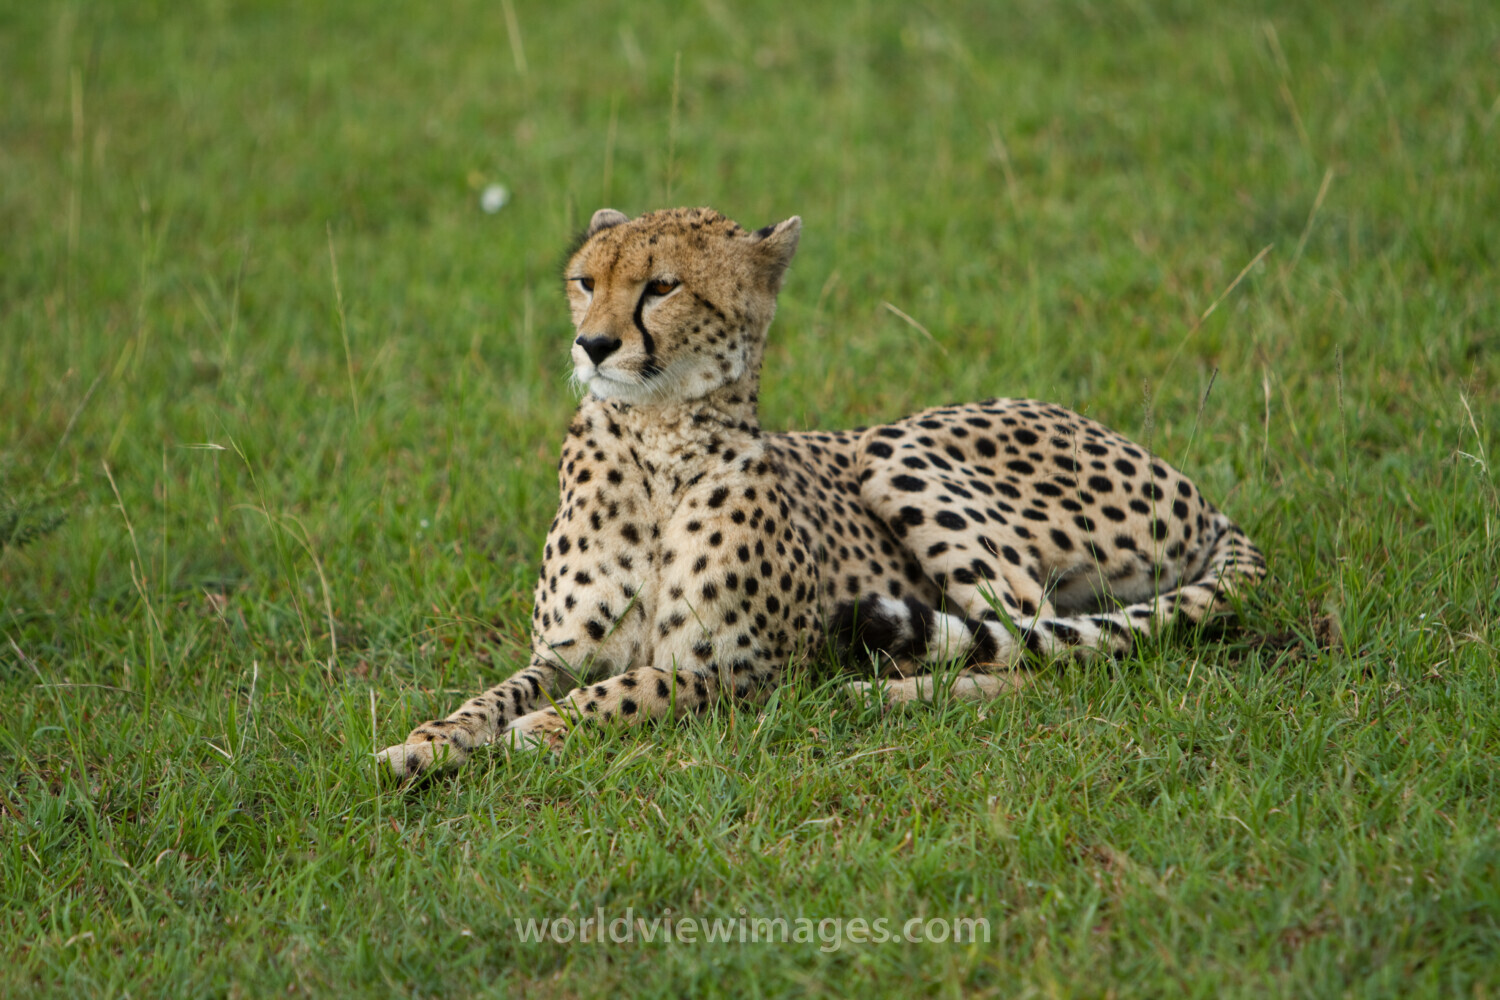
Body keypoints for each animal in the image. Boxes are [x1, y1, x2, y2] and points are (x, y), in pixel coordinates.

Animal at [376, 206, 1266, 777]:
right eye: (584, 281)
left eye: (661, 286)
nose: (591, 345)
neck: (658, 438)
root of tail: (1195, 492)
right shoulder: (565, 651)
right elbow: (494, 695)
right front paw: (426, 741)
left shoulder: (745, 669)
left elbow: (628, 691)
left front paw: (537, 731)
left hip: (897, 449)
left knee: (1038, 650)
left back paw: (886, 693)